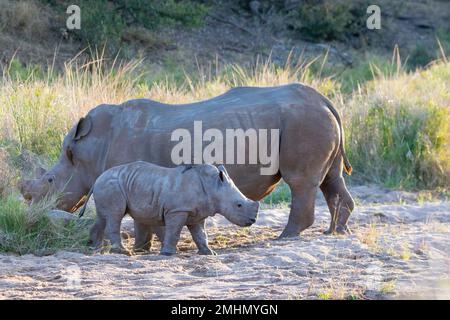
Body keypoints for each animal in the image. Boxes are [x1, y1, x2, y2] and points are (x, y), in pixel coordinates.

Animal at [79, 161, 258, 256]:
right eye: (239, 205)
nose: (253, 220)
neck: (213, 186)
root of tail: (97, 179)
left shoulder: (198, 213)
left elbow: (201, 234)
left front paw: (209, 253)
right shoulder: (178, 210)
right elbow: (174, 231)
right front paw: (168, 254)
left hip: (108, 185)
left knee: (104, 216)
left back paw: (94, 248)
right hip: (112, 185)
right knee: (115, 215)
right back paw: (123, 252)